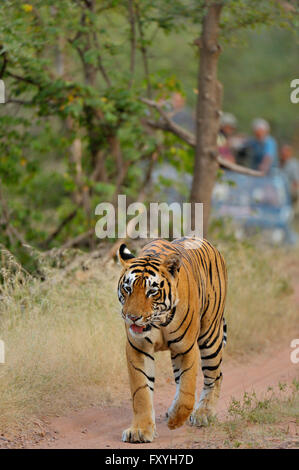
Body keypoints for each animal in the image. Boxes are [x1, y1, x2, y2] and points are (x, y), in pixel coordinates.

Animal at [117, 237, 227, 442]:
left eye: (152, 292)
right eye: (127, 289)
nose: (132, 317)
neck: (158, 321)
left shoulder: (187, 348)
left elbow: (187, 391)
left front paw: (176, 421)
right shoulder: (138, 349)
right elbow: (141, 393)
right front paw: (140, 430)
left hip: (210, 336)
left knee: (215, 376)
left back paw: (203, 413)